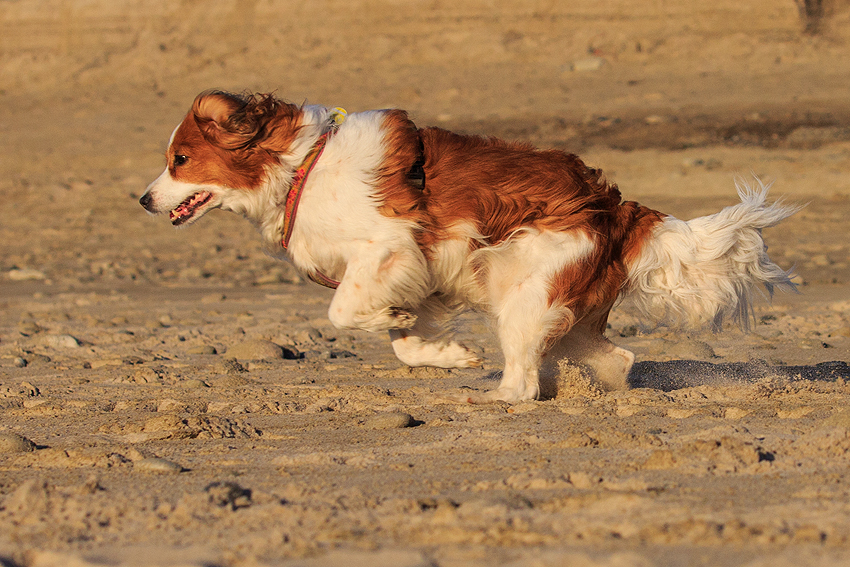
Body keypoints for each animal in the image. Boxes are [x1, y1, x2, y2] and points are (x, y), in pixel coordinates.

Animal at [137, 92, 796, 404]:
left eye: (180, 159)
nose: (143, 198)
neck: (304, 165)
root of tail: (617, 208)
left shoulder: (390, 245)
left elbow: (345, 310)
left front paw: (399, 323)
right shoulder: (422, 272)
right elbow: (404, 342)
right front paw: (445, 354)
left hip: (524, 296)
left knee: (526, 381)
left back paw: (497, 396)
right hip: (551, 304)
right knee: (614, 356)